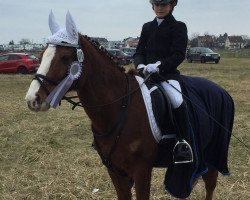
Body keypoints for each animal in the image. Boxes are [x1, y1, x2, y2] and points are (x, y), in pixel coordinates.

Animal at [24, 12, 233, 200]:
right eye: (41, 55)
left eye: (65, 58)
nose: (32, 99)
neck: (119, 108)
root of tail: (221, 91)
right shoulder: (115, 171)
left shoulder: (142, 171)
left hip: (212, 154)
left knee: (210, 186)